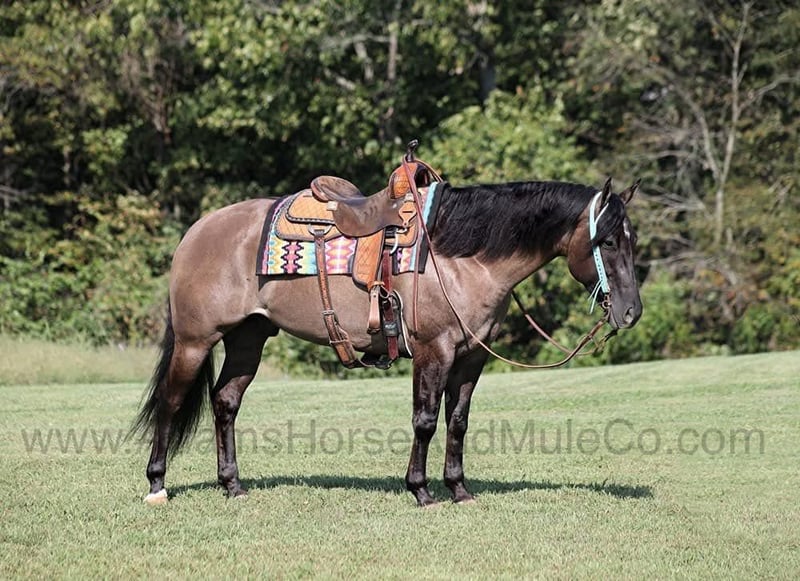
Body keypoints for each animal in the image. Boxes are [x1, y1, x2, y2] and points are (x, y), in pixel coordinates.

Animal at [132, 175, 642, 507]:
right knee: (172, 401)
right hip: (196, 341)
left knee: (225, 402)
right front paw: (420, 489)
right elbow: (425, 421)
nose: (631, 312)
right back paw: (157, 485)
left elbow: (457, 423)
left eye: (631, 240)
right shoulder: (434, 352)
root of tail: (196, 232)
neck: (460, 255)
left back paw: (232, 485)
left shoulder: (470, 359)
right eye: (607, 241)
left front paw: (459, 489)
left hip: (247, 340)